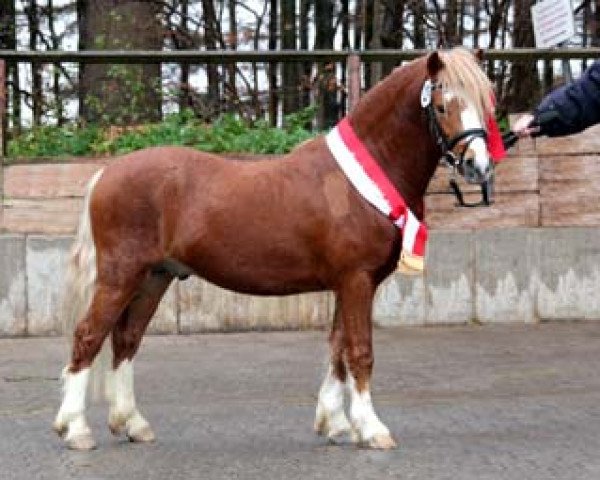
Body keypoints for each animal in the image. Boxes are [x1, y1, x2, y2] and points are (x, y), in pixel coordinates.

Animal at [52, 48, 492, 450]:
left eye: (486, 103)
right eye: (442, 105)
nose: (479, 166)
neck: (361, 179)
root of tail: (106, 172)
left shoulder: (345, 284)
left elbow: (337, 350)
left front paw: (334, 425)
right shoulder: (357, 281)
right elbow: (359, 351)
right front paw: (372, 429)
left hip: (154, 277)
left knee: (126, 339)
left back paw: (132, 423)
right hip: (121, 276)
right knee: (88, 336)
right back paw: (75, 430)